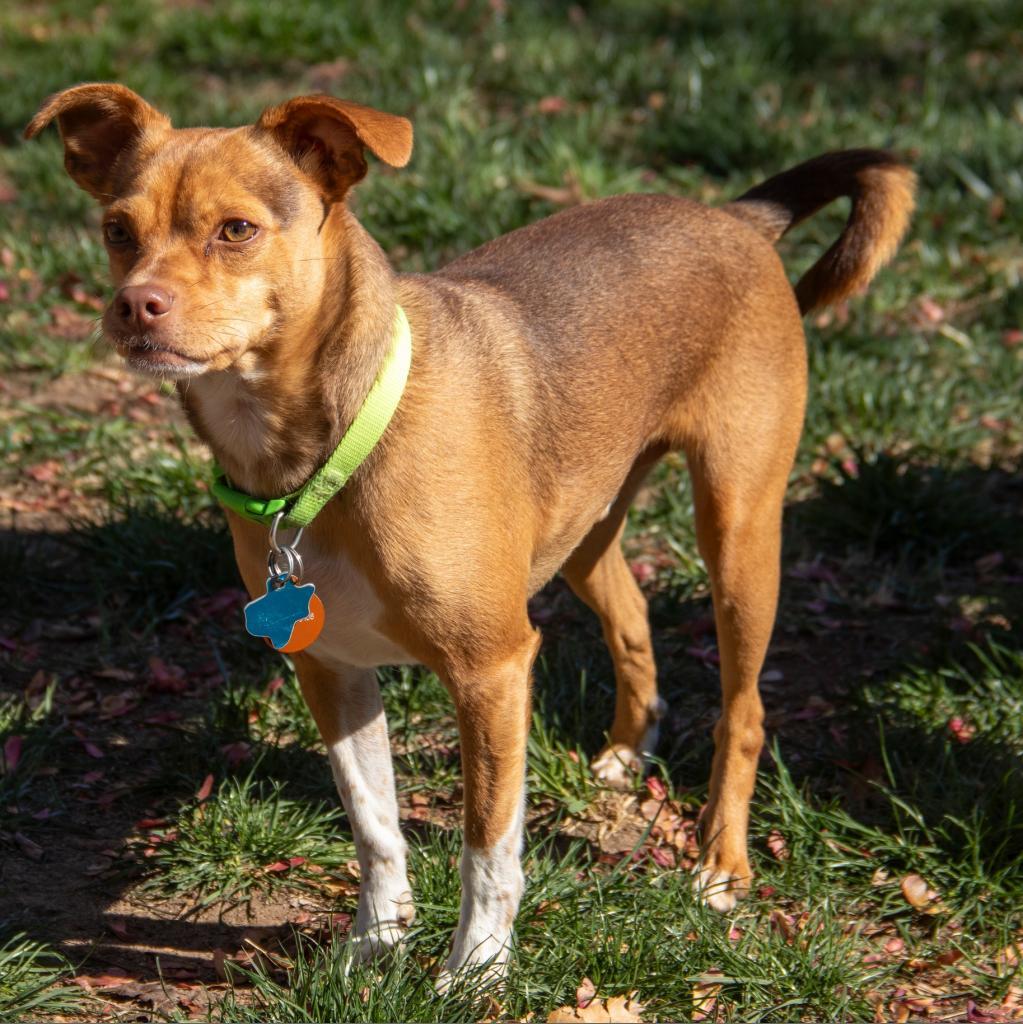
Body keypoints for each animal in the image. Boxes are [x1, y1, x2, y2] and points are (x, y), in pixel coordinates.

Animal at [28, 83, 917, 978]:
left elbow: (486, 843)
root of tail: (733, 216)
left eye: (236, 230)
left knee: (744, 712)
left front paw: (475, 970)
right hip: (583, 528)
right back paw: (628, 752)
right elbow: (375, 824)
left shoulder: (490, 670)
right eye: (117, 230)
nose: (134, 305)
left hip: (737, 529)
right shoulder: (331, 667)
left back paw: (718, 863)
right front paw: (376, 944)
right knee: (632, 620)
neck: (323, 456)